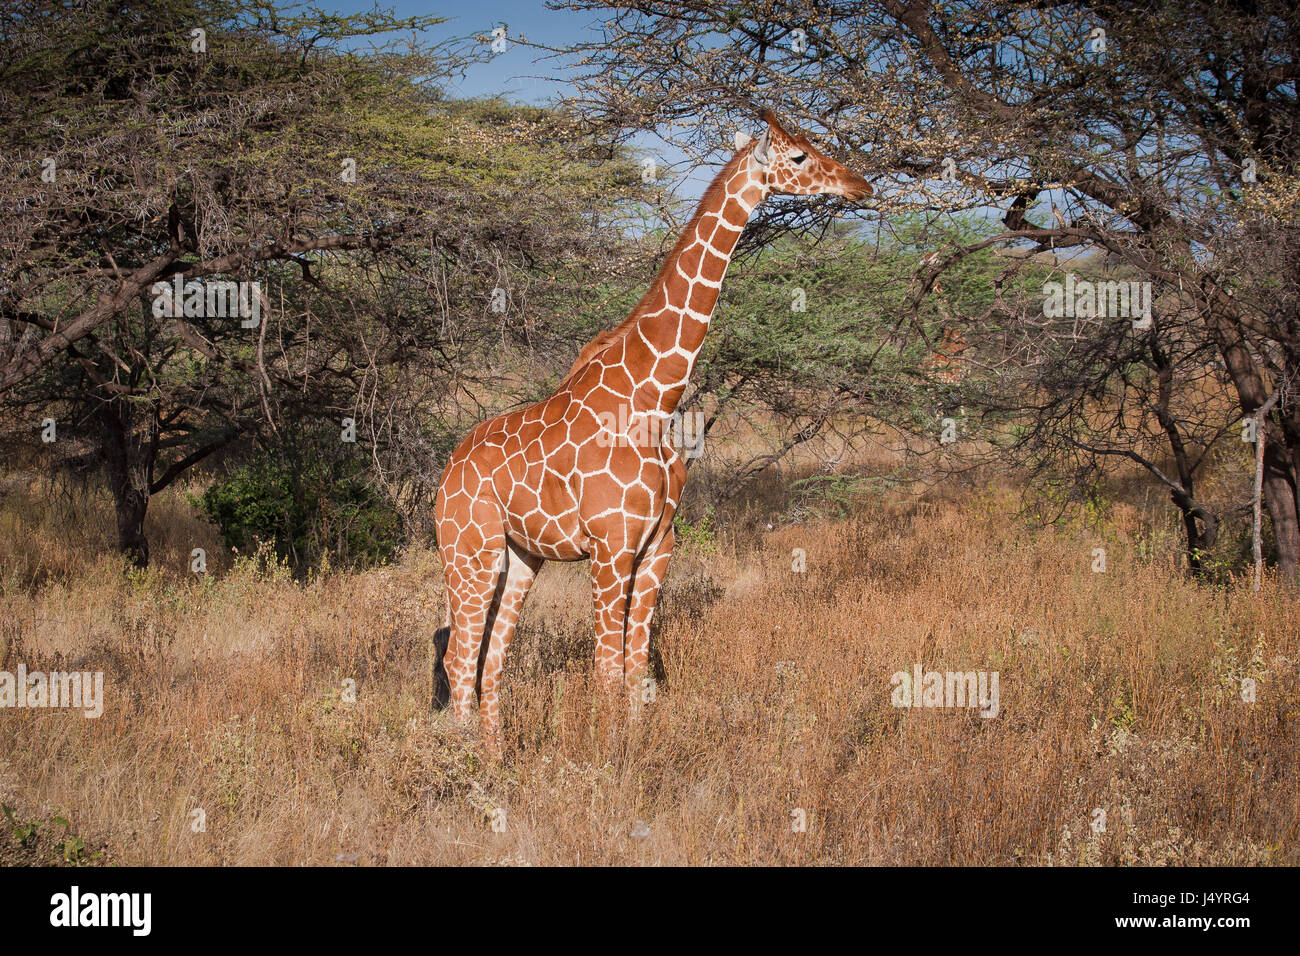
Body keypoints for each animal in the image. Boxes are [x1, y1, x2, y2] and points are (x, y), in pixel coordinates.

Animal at [431, 110, 868, 754]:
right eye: (798, 157)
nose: (860, 184)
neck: (653, 398)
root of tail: (445, 473)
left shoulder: (658, 545)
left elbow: (636, 665)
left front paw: (635, 750)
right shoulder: (610, 549)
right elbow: (607, 668)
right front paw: (606, 759)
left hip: (520, 557)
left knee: (489, 662)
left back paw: (496, 755)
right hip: (469, 551)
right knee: (459, 657)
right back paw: (467, 762)